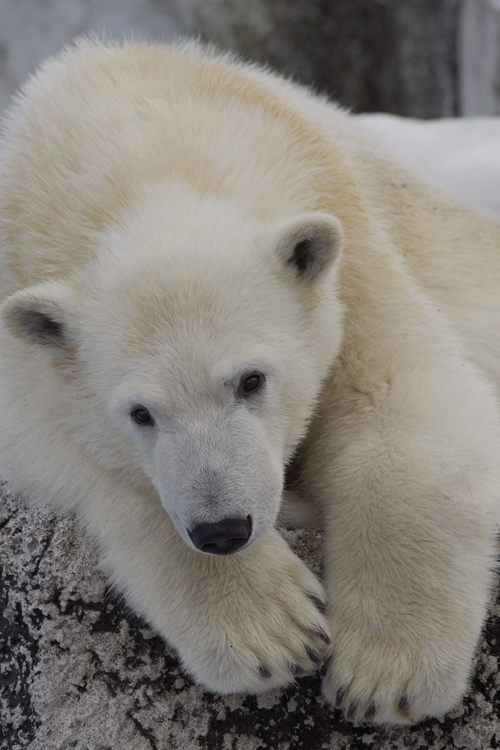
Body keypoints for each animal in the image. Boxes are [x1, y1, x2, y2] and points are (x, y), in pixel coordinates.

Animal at [0, 41, 498, 728]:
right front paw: (274, 633)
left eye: (252, 379)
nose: (222, 530)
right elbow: (68, 448)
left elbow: (402, 395)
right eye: (139, 413)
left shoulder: (347, 241)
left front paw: (383, 674)